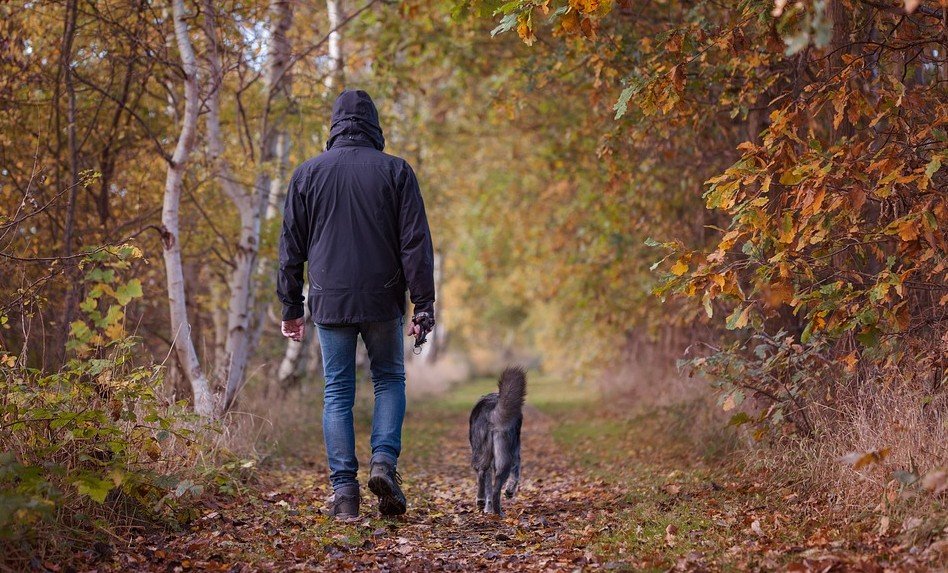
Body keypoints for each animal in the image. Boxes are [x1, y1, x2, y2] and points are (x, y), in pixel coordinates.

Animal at [472, 366, 528, 512]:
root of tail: (491, 409)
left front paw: (487, 508)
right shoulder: (515, 451)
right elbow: (516, 472)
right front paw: (509, 491)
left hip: (483, 453)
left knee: (482, 474)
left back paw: (484, 503)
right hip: (503, 456)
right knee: (494, 488)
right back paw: (497, 511)